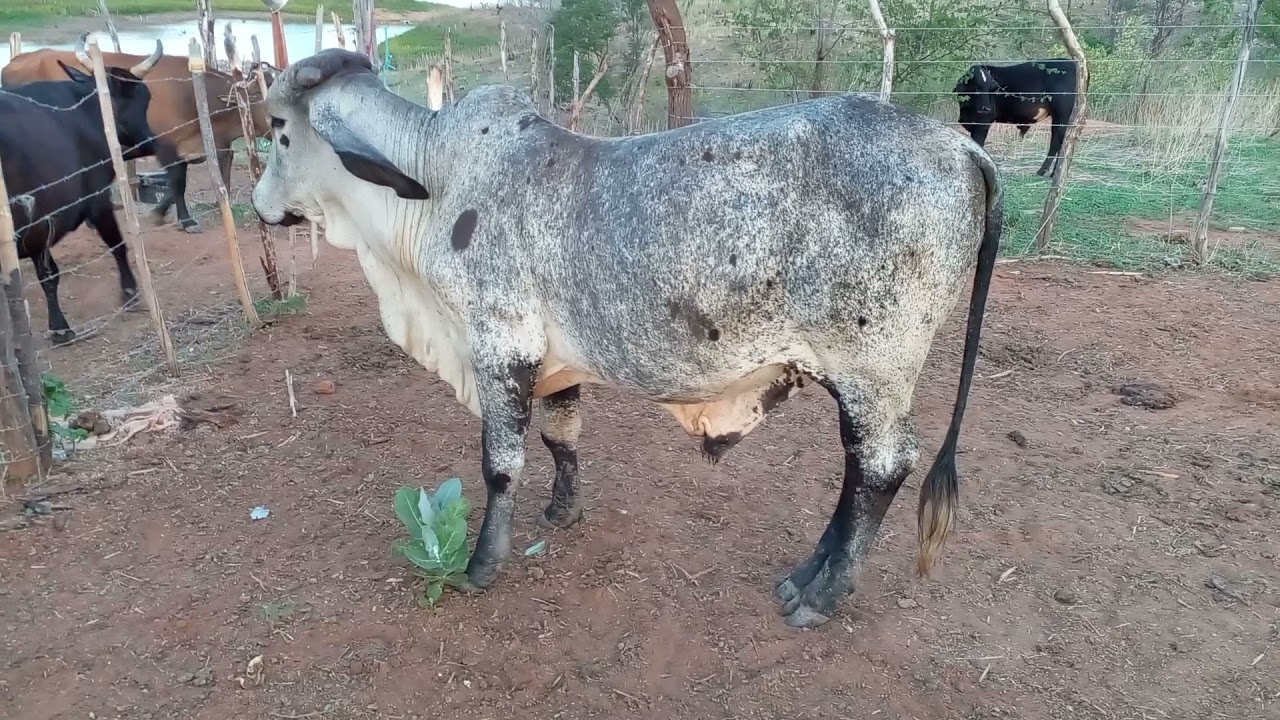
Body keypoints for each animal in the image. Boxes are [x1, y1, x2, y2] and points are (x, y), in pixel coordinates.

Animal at [0, 52, 159, 345]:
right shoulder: (94, 201)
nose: (150, 141)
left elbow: (47, 273)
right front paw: (129, 292)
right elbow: (116, 244)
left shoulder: (40, 225)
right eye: (143, 99)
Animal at [2, 32, 276, 233]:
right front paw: (185, 221)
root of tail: (15, 60)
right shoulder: (166, 147)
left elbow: (175, 184)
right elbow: (178, 182)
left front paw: (160, 213)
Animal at [252, 50, 1002, 628]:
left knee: (882, 467)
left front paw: (483, 563)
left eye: (280, 131)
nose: (257, 206)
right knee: (858, 469)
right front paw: (563, 512)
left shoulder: (499, 344)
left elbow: (501, 464)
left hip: (876, 369)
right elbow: (561, 437)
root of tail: (958, 144)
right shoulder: (553, 360)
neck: (434, 180)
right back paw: (804, 576)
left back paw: (823, 594)